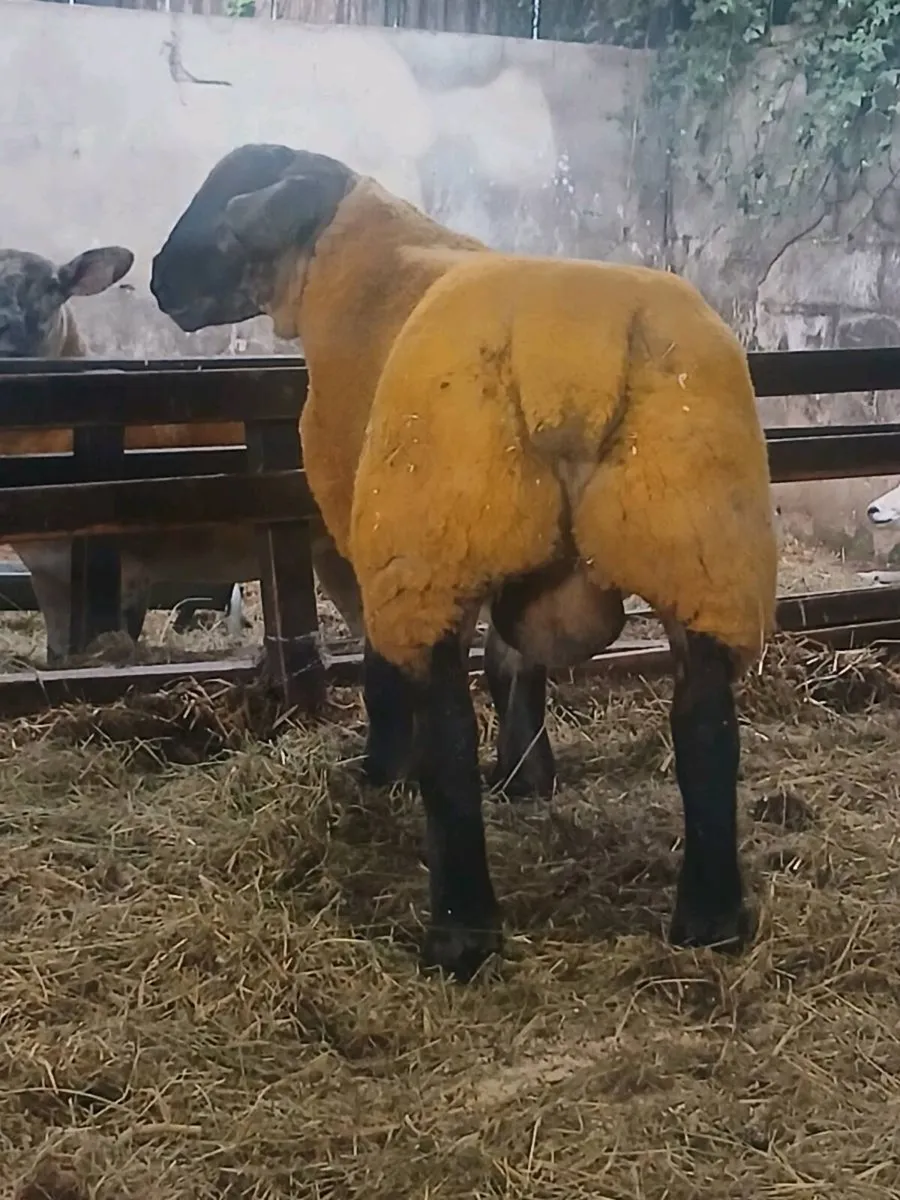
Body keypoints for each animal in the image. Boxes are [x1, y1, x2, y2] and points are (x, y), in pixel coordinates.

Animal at [150, 143, 779, 982]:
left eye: (225, 194)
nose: (158, 277)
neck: (358, 257)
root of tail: (569, 348)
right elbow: (514, 664)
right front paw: (526, 779)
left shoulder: (360, 534)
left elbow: (384, 671)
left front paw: (380, 771)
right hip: (698, 546)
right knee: (706, 726)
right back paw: (711, 919)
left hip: (433, 544)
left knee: (444, 733)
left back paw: (459, 931)